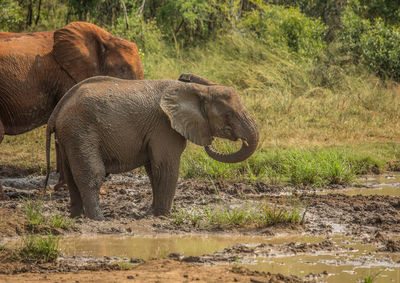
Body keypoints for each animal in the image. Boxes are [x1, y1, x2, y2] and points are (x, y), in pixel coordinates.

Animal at [44, 74, 260, 221]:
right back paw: (99, 220)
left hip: (69, 136)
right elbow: (165, 166)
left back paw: (76, 218)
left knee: (71, 176)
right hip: (81, 130)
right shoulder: (164, 126)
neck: (197, 90)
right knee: (92, 175)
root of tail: (57, 110)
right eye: (229, 115)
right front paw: (163, 217)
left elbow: (153, 170)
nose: (243, 140)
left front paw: (152, 214)